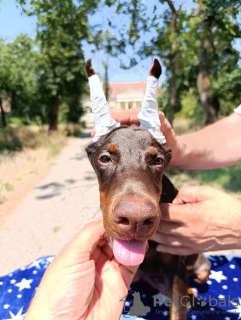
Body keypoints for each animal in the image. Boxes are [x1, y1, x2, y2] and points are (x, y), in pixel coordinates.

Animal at [85, 58, 210, 318]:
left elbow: (178, 306)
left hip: (203, 267)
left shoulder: (175, 265)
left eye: (158, 160)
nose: (136, 220)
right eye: (105, 158)